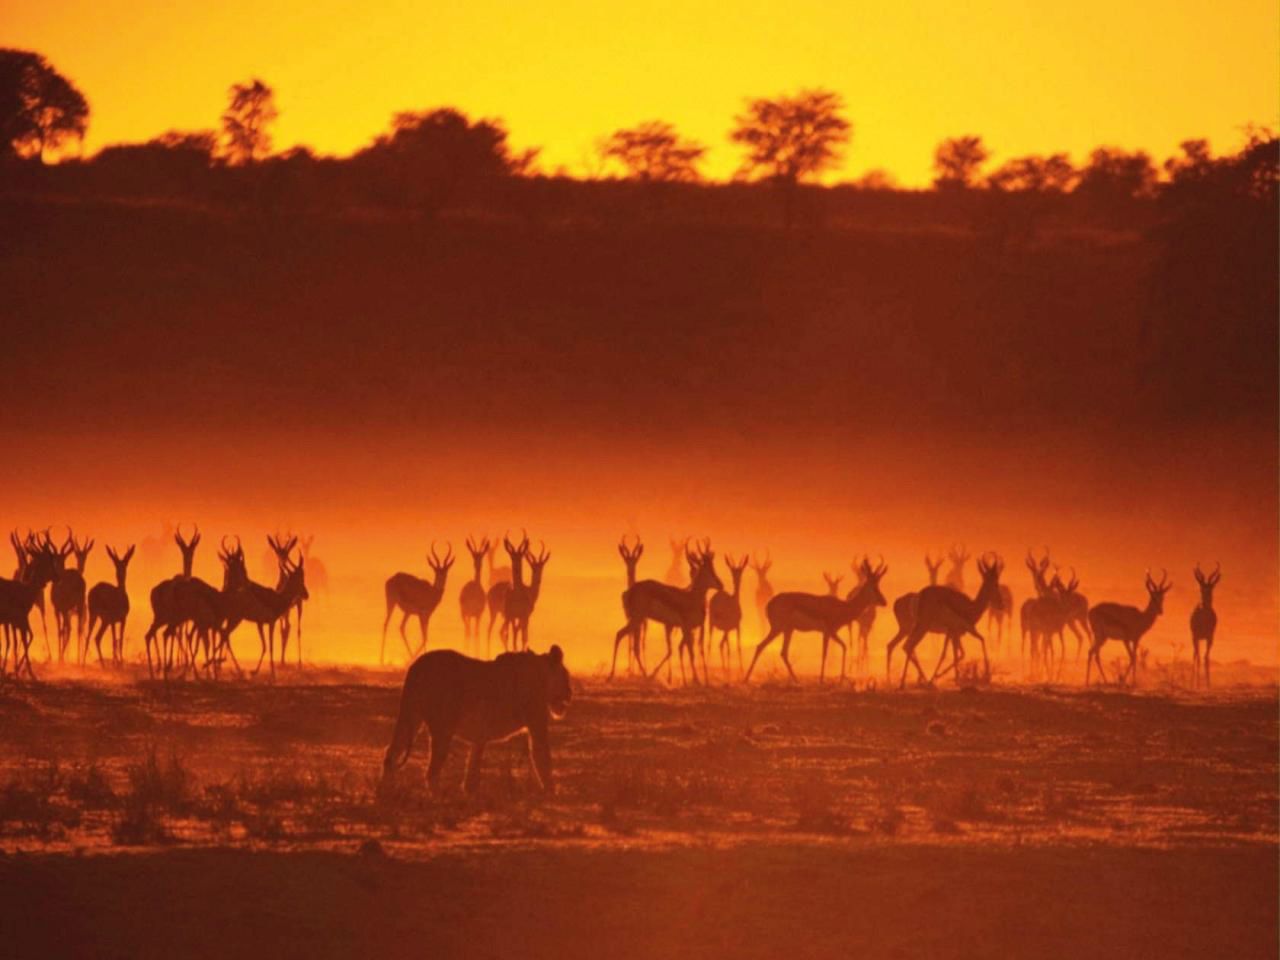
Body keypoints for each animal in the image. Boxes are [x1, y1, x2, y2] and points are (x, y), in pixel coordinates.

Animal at [614, 545, 727, 686]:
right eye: (708, 570)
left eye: (713, 568)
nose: (721, 585)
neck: (691, 598)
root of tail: (629, 591)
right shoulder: (685, 627)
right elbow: (689, 652)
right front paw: (696, 680)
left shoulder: (683, 628)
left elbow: (682, 650)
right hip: (637, 620)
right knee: (623, 637)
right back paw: (639, 676)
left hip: (636, 621)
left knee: (628, 641)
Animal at [711, 552, 747, 680]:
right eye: (732, 571)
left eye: (740, 571)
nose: (736, 581)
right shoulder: (729, 628)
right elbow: (730, 648)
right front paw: (733, 671)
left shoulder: (736, 627)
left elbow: (738, 647)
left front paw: (740, 670)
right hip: (712, 624)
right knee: (712, 643)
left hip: (722, 629)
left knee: (720, 644)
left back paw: (723, 668)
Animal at [747, 555, 885, 686]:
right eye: (873, 587)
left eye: (878, 586)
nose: (884, 602)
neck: (843, 607)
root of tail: (769, 603)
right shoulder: (828, 632)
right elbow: (825, 653)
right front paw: (822, 680)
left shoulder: (831, 633)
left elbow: (843, 647)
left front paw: (839, 678)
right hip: (778, 629)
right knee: (761, 646)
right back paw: (747, 678)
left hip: (788, 630)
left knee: (781, 652)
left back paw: (796, 680)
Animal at [885, 552, 947, 680]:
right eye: (929, 568)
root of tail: (896, 602)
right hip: (909, 629)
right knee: (907, 647)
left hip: (904, 630)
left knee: (893, 645)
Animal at [896, 552, 1003, 686]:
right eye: (996, 584)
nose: (1001, 604)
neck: (971, 607)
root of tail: (919, 596)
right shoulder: (962, 630)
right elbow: (969, 647)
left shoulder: (953, 632)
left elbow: (954, 653)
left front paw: (950, 678)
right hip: (922, 627)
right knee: (910, 646)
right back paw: (905, 683)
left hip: (917, 627)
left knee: (907, 646)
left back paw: (908, 682)